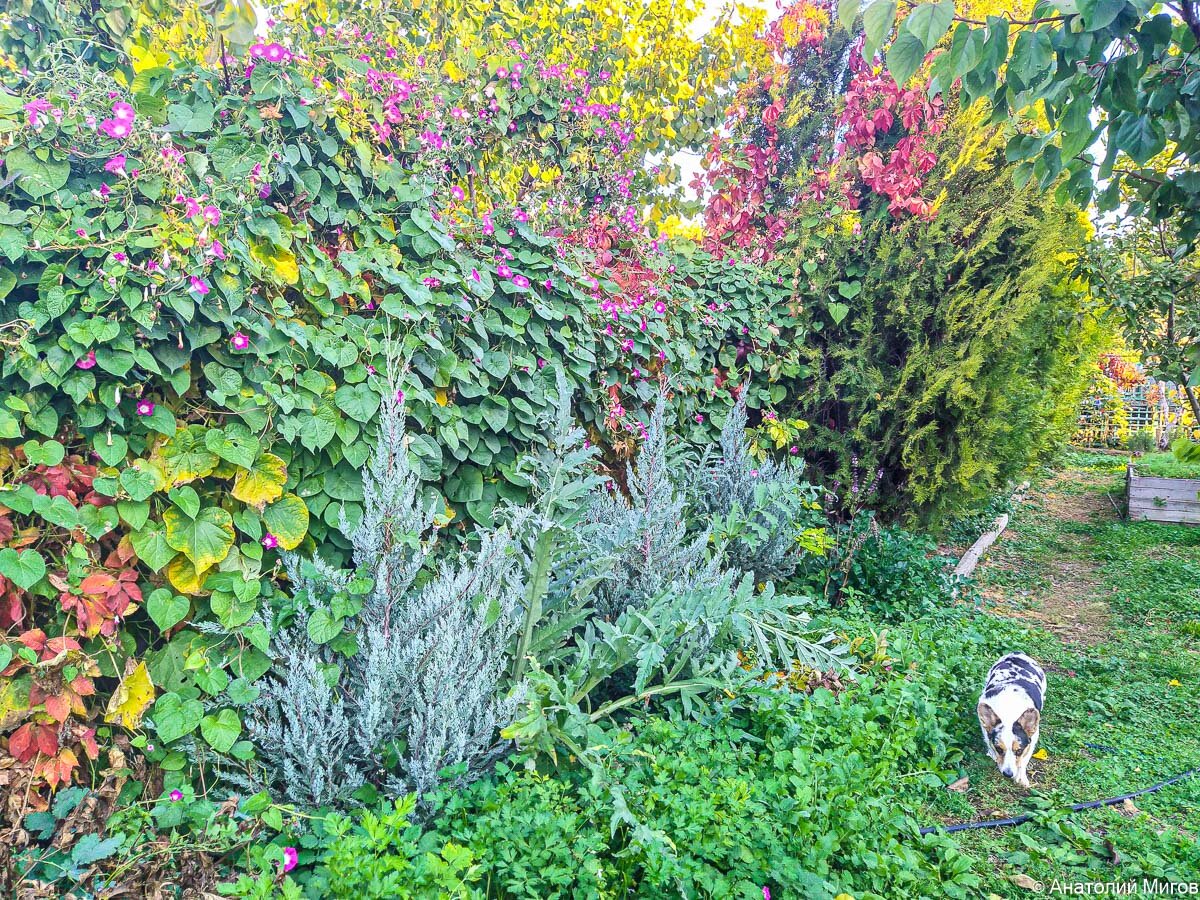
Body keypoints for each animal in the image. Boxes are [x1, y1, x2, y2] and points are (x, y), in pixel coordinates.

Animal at [979, 657, 1046, 787]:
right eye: (999, 749)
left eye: (1019, 751)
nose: (1008, 774)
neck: (1008, 713)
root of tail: (1017, 654)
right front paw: (993, 755)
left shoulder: (1032, 741)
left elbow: (1024, 761)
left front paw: (1021, 778)